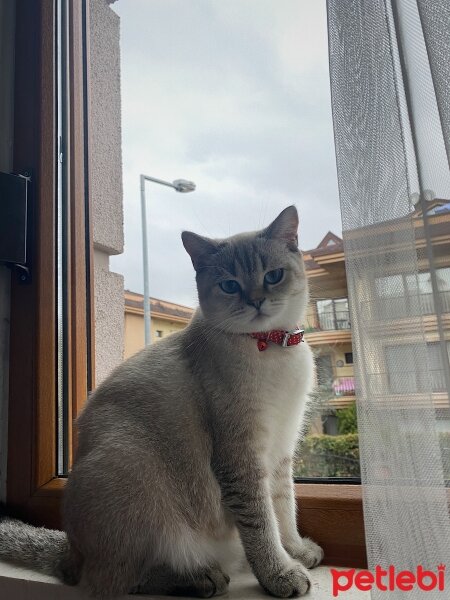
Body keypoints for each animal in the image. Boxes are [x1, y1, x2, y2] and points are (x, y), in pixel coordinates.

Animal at [0, 205, 324, 596]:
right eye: (230, 285)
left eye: (273, 276)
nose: (256, 301)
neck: (272, 348)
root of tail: (69, 550)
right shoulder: (242, 456)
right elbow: (262, 524)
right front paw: (280, 575)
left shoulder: (281, 449)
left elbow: (284, 510)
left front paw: (297, 552)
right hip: (132, 468)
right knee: (116, 578)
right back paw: (201, 577)